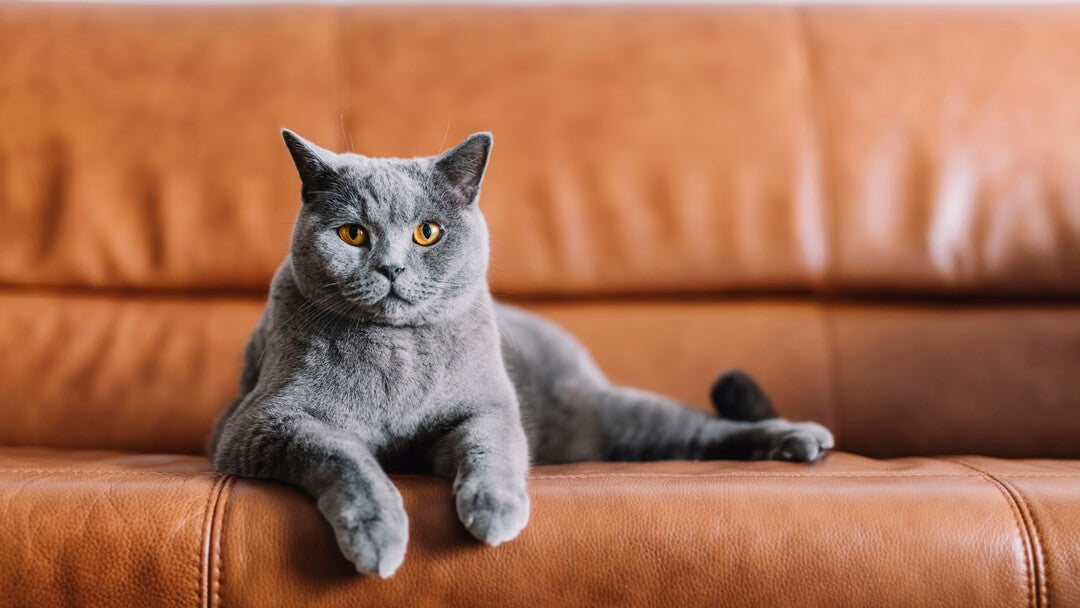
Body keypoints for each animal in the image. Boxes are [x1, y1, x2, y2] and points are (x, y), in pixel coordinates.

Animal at [210, 129, 833, 578]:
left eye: (427, 232)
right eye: (353, 235)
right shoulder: (263, 421)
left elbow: (493, 444)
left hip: (613, 414)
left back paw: (800, 439)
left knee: (700, 428)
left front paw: (495, 508)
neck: (398, 351)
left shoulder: (487, 404)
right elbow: (343, 455)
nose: (391, 268)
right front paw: (377, 533)